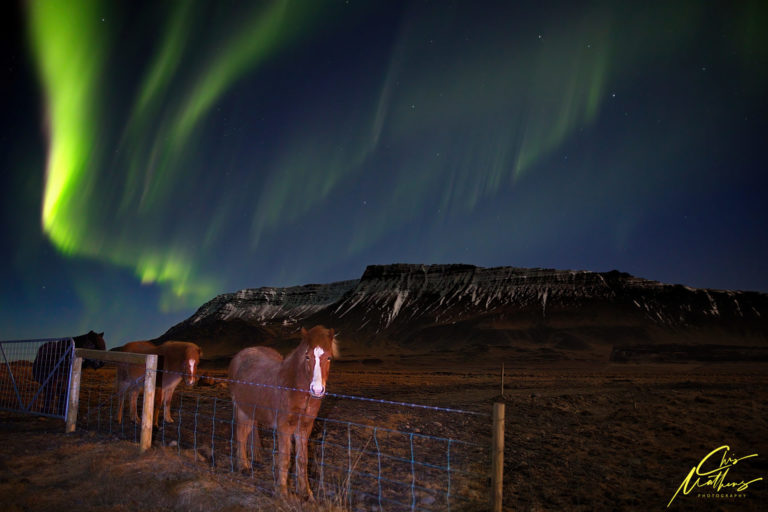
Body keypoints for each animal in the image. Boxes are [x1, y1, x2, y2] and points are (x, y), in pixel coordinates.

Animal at [226, 326, 338, 498]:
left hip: (252, 410)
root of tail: (240, 355)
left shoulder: (304, 427)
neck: (294, 388)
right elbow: (285, 459)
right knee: (241, 435)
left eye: (329, 358)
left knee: (251, 431)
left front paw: (306, 493)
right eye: (307, 356)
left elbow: (302, 459)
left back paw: (255, 458)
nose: (317, 390)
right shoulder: (284, 427)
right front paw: (282, 492)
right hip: (242, 409)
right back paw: (243, 466)